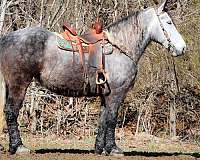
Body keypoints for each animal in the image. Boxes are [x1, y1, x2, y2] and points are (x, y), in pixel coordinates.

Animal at [0, 0, 186, 155]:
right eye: (168, 22)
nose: (183, 48)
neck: (120, 47)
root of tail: (8, 38)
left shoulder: (105, 95)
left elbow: (103, 120)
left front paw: (100, 149)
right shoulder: (116, 94)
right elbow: (112, 119)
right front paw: (113, 149)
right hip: (19, 84)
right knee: (11, 111)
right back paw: (19, 147)